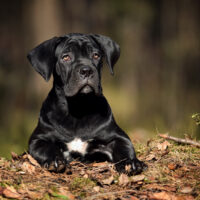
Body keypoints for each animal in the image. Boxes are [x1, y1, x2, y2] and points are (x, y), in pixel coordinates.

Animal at [27, 33, 145, 174]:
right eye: (66, 57)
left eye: (96, 55)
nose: (86, 70)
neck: (78, 108)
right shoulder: (37, 139)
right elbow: (47, 148)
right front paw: (55, 160)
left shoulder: (118, 136)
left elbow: (125, 148)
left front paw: (130, 162)